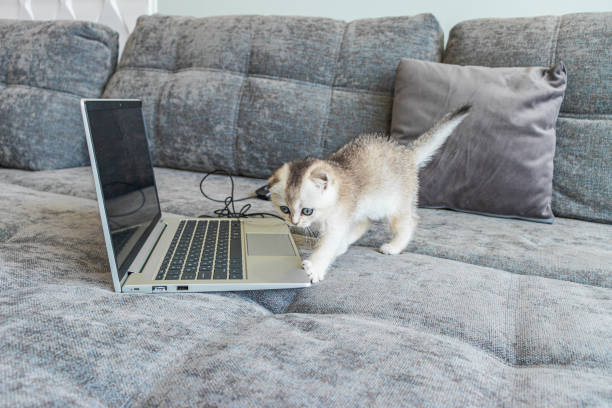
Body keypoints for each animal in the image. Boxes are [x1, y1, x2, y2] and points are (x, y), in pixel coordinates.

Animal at [268, 105, 474, 282]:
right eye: (285, 209)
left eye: (307, 211)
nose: (294, 223)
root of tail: (406, 151)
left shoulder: (338, 222)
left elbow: (326, 247)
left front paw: (315, 269)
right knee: (364, 223)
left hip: (394, 204)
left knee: (409, 222)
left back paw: (394, 247)